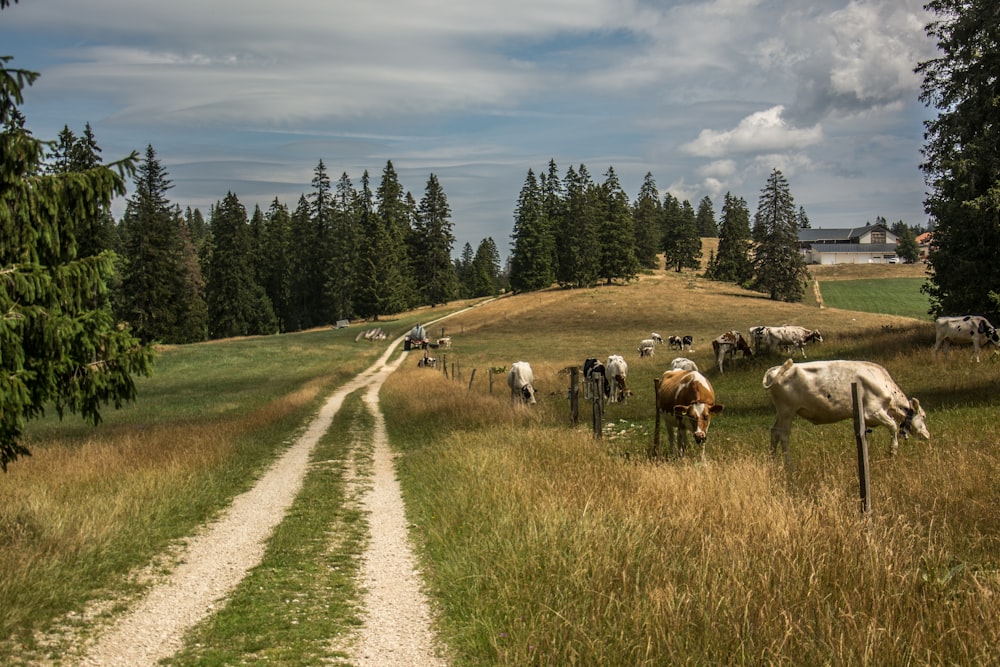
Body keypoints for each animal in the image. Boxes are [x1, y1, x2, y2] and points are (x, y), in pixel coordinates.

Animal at [764, 360, 928, 464]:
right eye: (923, 416)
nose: (927, 435)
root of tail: (777, 369)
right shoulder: (873, 411)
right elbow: (893, 426)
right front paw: (892, 452)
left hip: (781, 412)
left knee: (774, 431)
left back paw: (773, 461)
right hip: (787, 411)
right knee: (783, 435)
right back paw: (788, 464)